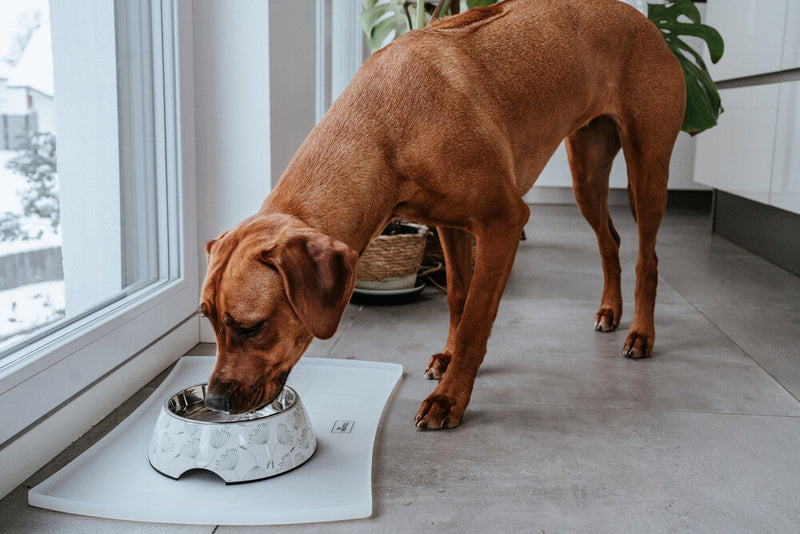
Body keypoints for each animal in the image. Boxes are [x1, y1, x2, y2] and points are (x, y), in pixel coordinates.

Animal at [198, 0, 680, 430]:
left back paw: (641, 332)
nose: (216, 401)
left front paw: (450, 398)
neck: (386, 129)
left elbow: (475, 321)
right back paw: (610, 310)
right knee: (610, 240)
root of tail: (642, 19)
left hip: (647, 169)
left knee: (649, 255)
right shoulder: (449, 224)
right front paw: (447, 359)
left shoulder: (504, 222)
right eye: (208, 320)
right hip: (586, 173)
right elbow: (457, 299)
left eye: (251, 327)